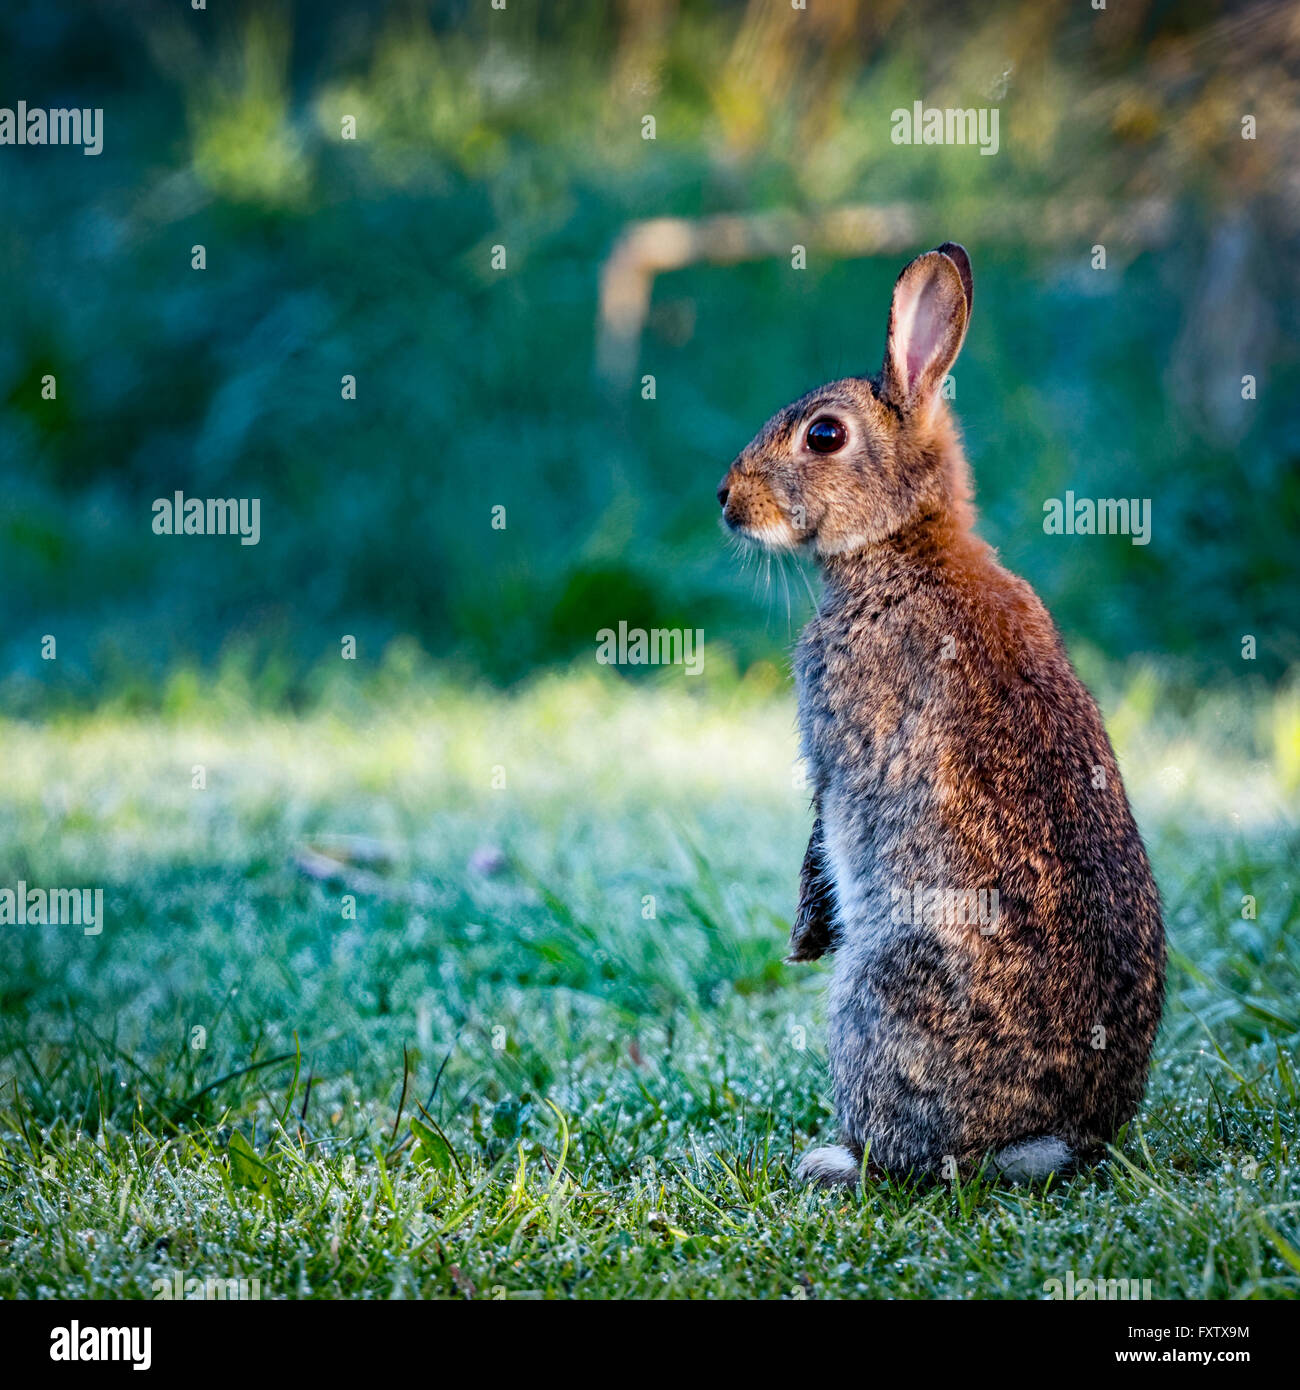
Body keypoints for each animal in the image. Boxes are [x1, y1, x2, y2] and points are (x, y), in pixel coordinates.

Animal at [717, 241, 1162, 1184]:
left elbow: (820, 825)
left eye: (823, 435)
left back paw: (833, 1161)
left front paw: (804, 934)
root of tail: (1056, 1137)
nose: (727, 500)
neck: (903, 543)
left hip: (875, 991)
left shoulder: (835, 748)